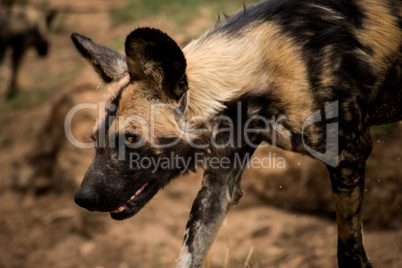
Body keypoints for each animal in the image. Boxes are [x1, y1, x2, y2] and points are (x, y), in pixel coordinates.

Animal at [70, 0, 400, 266]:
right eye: (95, 140)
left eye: (130, 139)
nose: (82, 198)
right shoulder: (220, 185)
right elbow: (189, 254)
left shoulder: (348, 157)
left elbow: (350, 255)